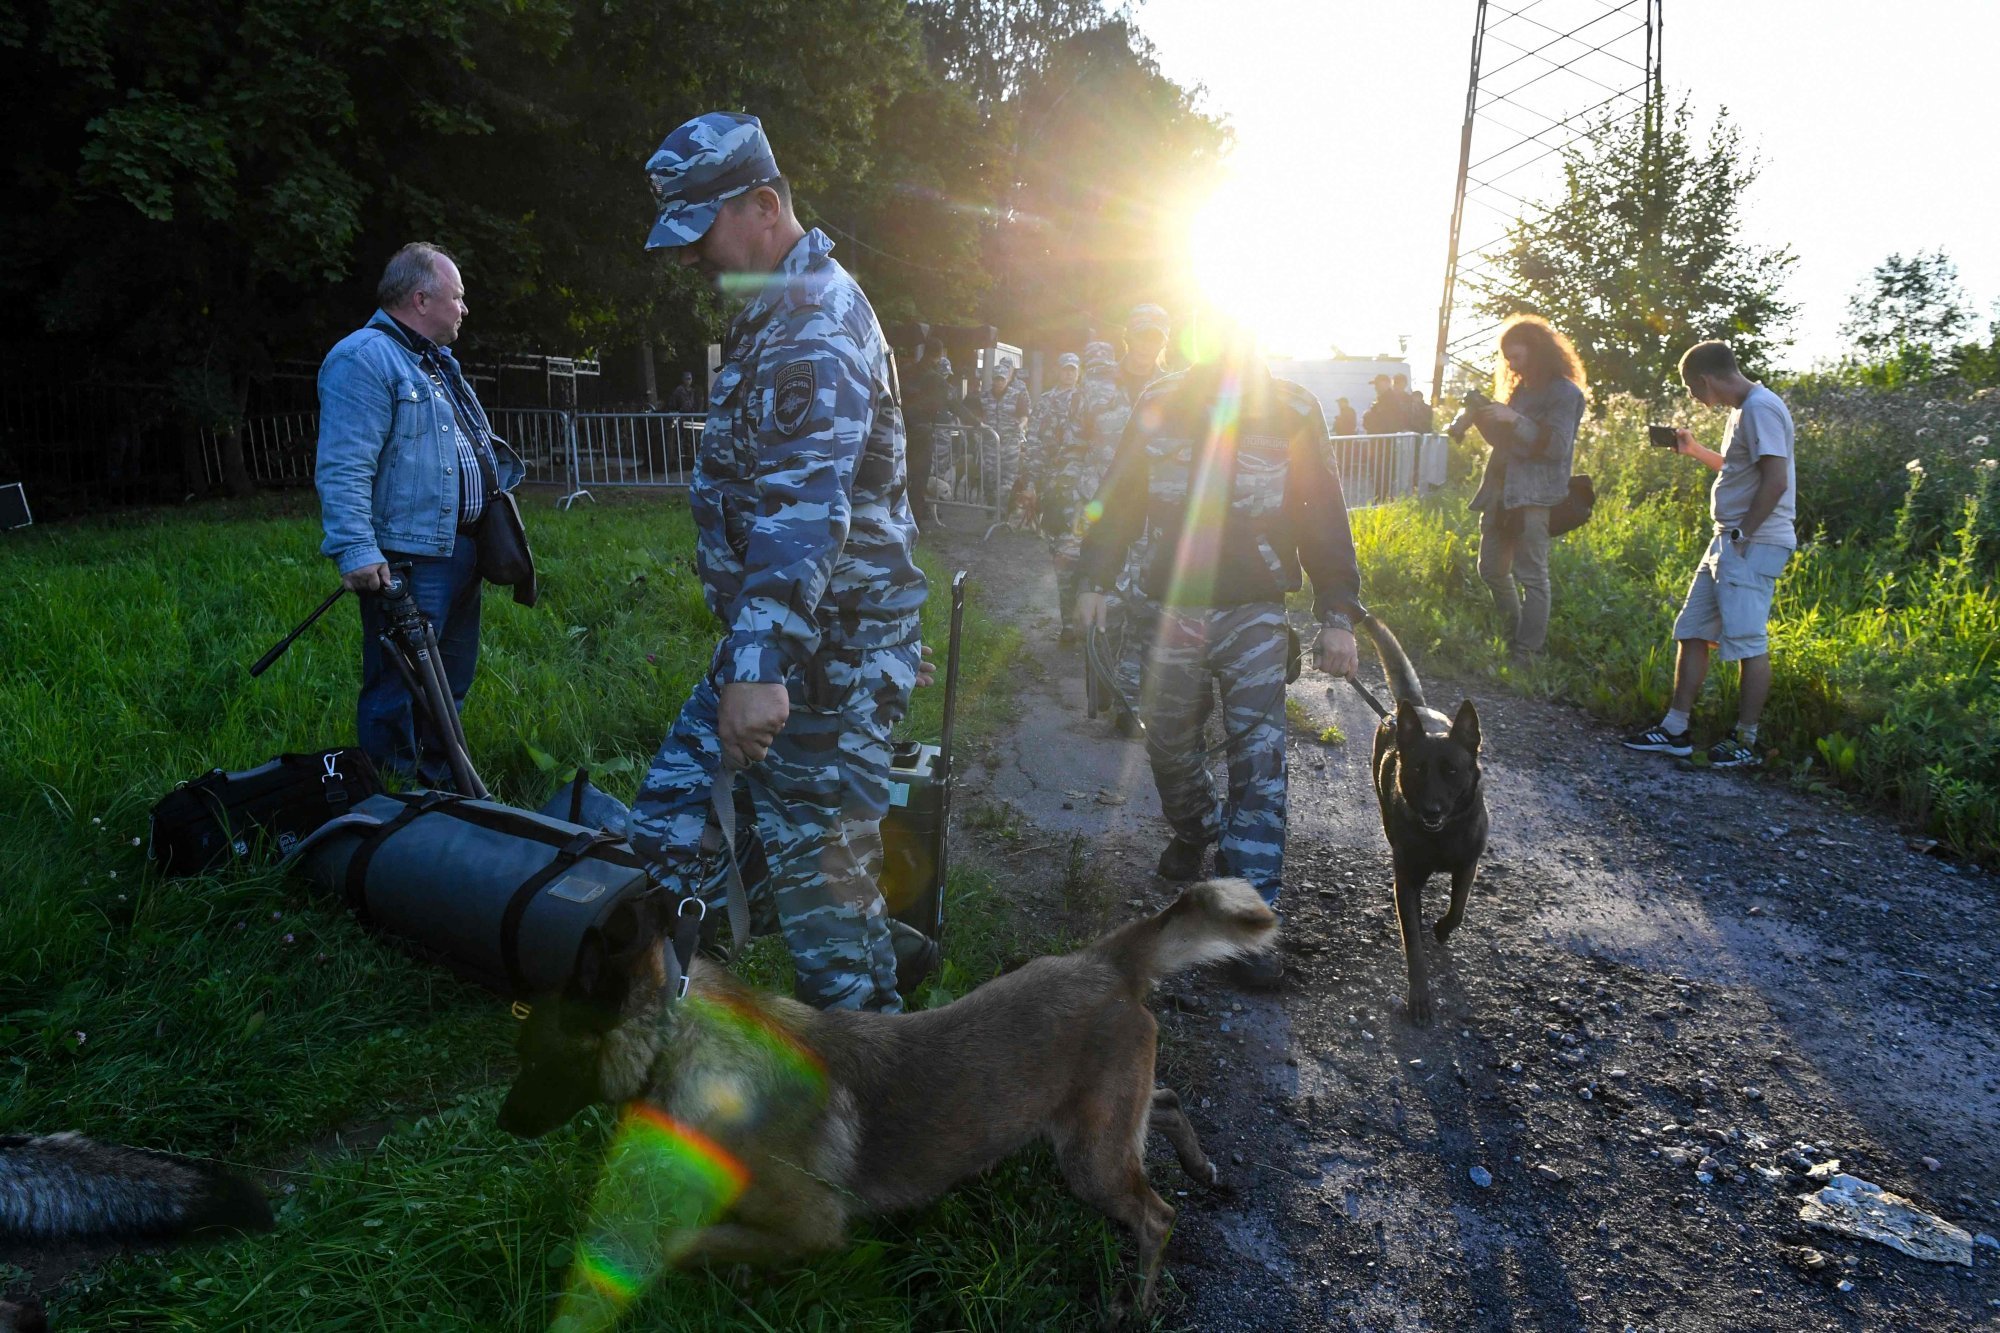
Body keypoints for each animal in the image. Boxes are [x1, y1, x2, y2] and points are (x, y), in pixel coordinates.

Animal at [504, 872, 1280, 1304]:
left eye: (538, 1058)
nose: (505, 1122)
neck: (685, 1042)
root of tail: (1105, 959)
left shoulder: (814, 1224)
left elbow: (684, 1241)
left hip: (1088, 1158)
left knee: (1157, 1217)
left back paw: (1137, 1304)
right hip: (1103, 1124)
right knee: (1165, 1105)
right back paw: (1201, 1165)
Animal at [1360, 608, 1488, 1020]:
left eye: (1451, 771)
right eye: (1417, 770)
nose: (1432, 809)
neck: (1440, 836)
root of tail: (1408, 710)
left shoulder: (1468, 863)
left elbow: (1459, 907)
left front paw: (1445, 928)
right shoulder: (1406, 880)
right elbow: (1412, 942)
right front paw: (1419, 995)